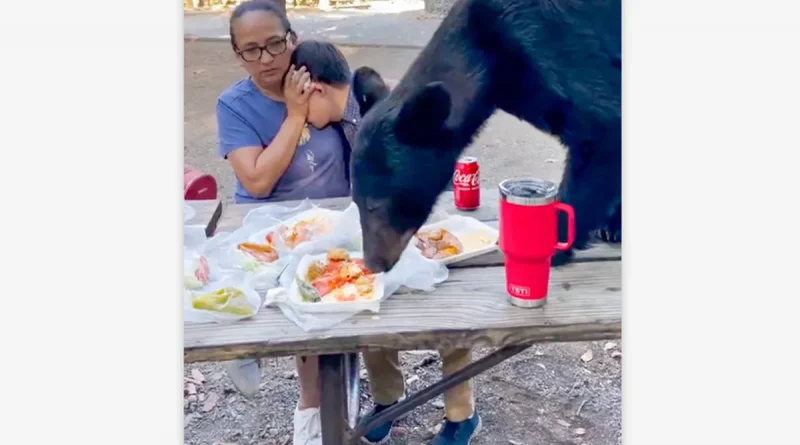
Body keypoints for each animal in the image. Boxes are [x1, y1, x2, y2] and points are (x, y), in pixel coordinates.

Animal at [354, 0, 620, 270]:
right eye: (356, 202)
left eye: (376, 206)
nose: (373, 264)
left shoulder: (558, 48)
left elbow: (603, 130)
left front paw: (550, 247)